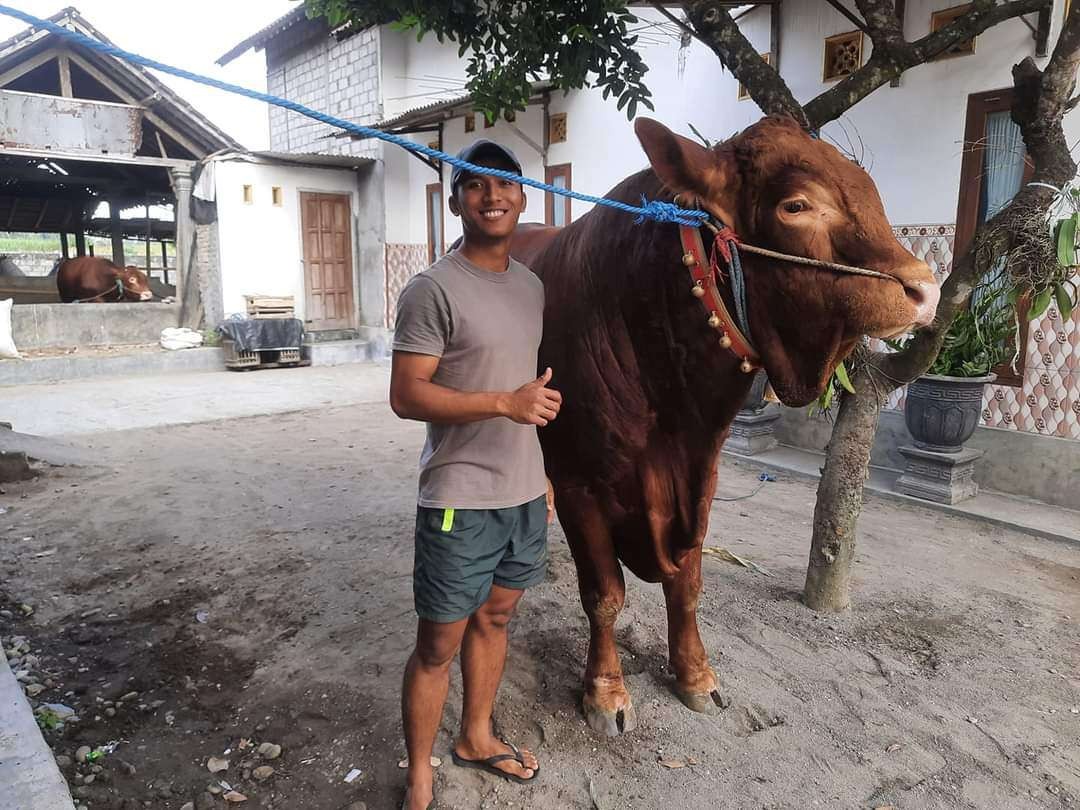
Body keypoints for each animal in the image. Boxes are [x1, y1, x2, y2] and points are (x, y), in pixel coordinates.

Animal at [509, 117, 941, 738]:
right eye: (796, 204)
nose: (925, 289)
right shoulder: (579, 483)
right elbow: (604, 594)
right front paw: (605, 692)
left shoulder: (702, 475)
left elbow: (687, 583)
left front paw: (694, 673)